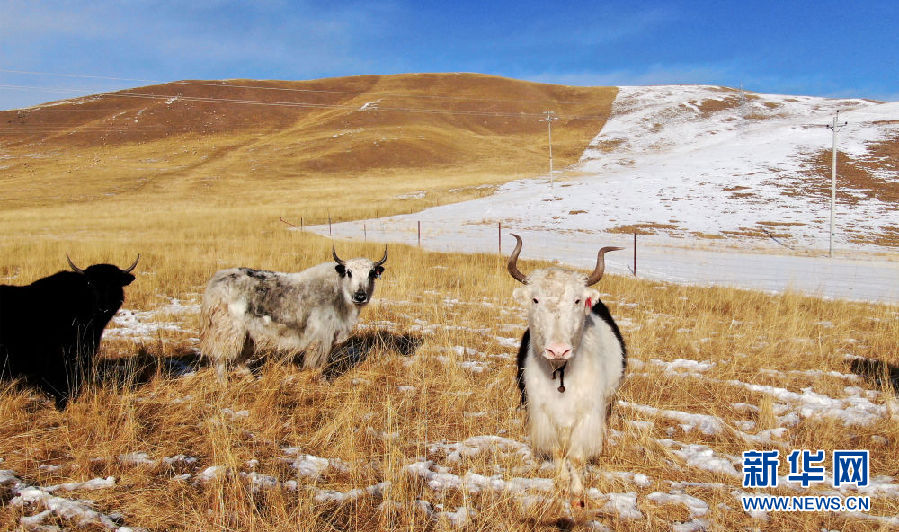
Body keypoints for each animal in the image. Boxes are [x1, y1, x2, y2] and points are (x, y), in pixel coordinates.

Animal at [200, 247, 387, 381]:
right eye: (349, 272)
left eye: (372, 273)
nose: (360, 296)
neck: (339, 290)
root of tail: (215, 284)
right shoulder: (321, 336)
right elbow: (316, 361)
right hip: (228, 330)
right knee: (221, 357)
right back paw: (223, 383)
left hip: (245, 333)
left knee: (238, 357)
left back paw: (250, 378)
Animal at [507, 234, 626, 500]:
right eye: (535, 299)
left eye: (576, 300)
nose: (558, 350)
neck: (562, 374)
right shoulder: (545, 414)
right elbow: (559, 452)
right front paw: (561, 484)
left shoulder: (587, 415)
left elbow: (577, 457)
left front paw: (578, 493)